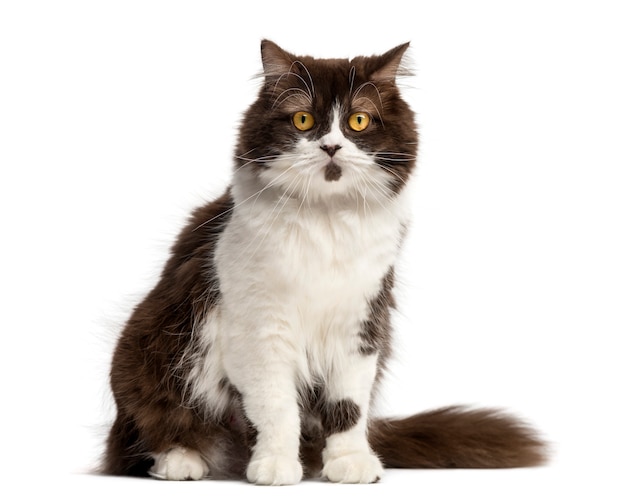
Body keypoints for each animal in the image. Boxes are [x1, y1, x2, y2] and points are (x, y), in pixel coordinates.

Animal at [102, 39, 540, 484]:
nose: (331, 146)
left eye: (358, 121)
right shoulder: (260, 327)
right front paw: (275, 465)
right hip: (144, 352)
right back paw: (182, 460)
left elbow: (348, 407)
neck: (326, 220)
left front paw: (350, 463)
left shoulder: (361, 324)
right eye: (303, 119)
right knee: (145, 434)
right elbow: (275, 405)